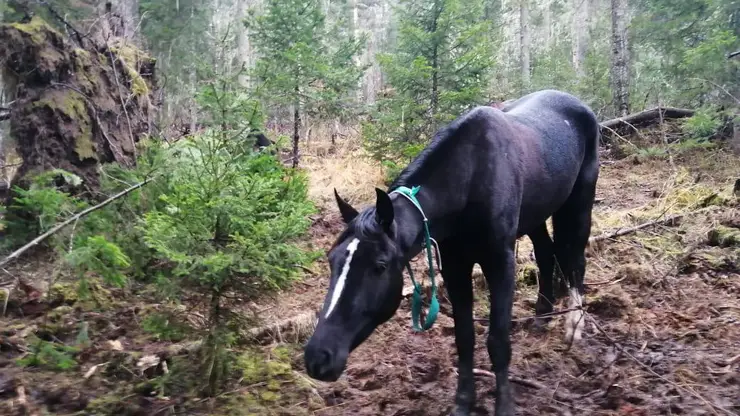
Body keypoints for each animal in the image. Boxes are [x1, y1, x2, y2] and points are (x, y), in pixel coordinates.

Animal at [304, 89, 600, 414]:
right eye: (331, 260)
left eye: (379, 266)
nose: (317, 358)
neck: (470, 178)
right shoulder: (455, 267)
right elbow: (464, 337)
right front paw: (463, 402)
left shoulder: (500, 263)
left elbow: (498, 341)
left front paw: (504, 405)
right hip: (536, 214)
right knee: (547, 254)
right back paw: (542, 316)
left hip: (579, 202)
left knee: (574, 260)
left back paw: (574, 326)